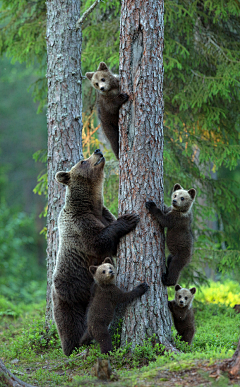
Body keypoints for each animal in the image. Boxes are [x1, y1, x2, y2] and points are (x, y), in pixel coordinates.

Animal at [52, 150, 139, 356]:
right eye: (82, 161)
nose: (97, 151)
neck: (91, 205)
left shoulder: (103, 214)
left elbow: (111, 245)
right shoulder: (80, 224)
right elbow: (98, 241)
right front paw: (128, 219)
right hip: (69, 295)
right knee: (69, 325)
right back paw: (72, 347)